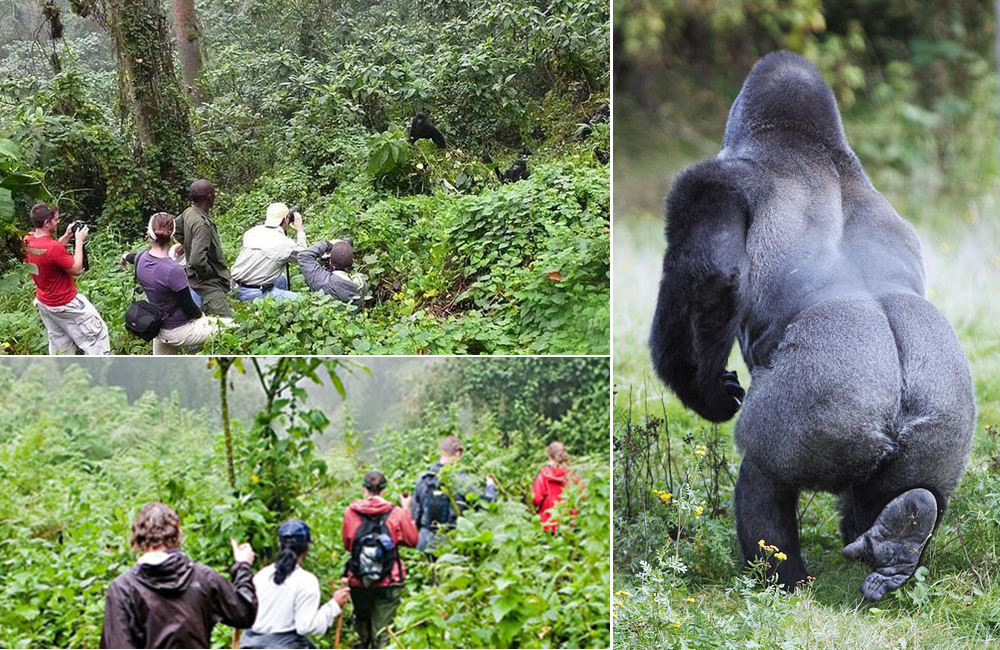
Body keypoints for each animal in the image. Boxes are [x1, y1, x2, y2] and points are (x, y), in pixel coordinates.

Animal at [648, 52, 976, 604]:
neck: (812, 150)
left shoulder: (710, 182)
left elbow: (712, 281)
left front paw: (707, 394)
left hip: (828, 409)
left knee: (763, 473)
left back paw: (782, 581)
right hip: (942, 421)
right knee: (911, 491)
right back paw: (901, 539)